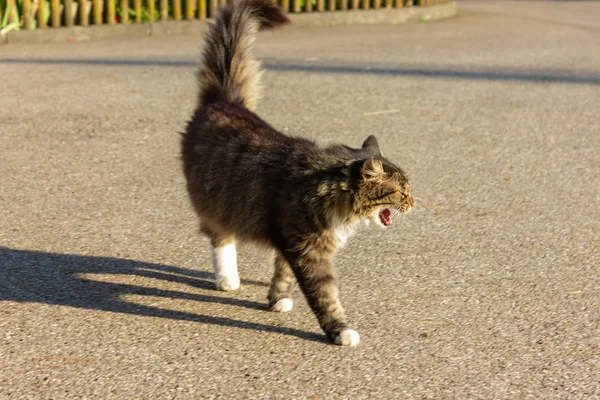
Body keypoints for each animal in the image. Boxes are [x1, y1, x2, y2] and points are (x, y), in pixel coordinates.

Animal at [179, 0, 412, 346]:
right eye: (401, 191)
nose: (413, 202)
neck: (324, 188)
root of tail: (224, 101)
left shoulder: (289, 242)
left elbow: (282, 271)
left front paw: (278, 299)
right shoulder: (306, 251)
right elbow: (325, 295)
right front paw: (340, 330)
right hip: (216, 203)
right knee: (220, 238)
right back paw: (228, 278)